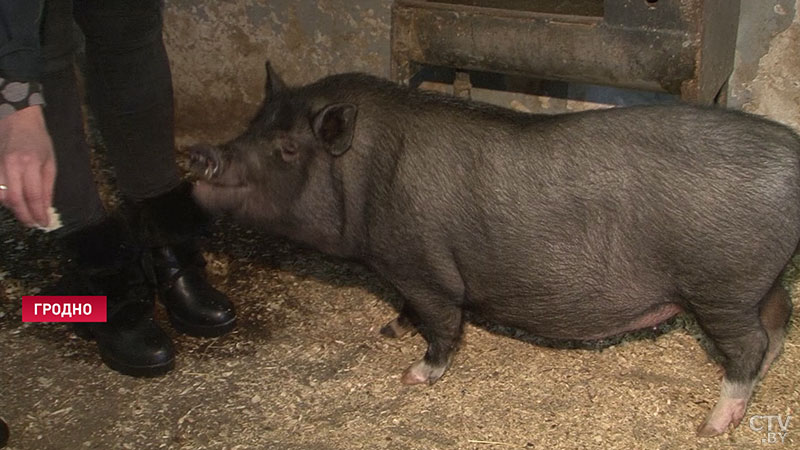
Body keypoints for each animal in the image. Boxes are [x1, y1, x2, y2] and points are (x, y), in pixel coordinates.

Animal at [191, 62, 796, 436]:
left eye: (288, 148)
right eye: (251, 124)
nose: (201, 154)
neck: (363, 172)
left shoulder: (423, 269)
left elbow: (442, 324)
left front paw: (413, 376)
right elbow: (410, 312)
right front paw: (387, 330)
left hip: (720, 285)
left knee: (747, 344)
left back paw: (710, 425)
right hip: (759, 280)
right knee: (778, 323)